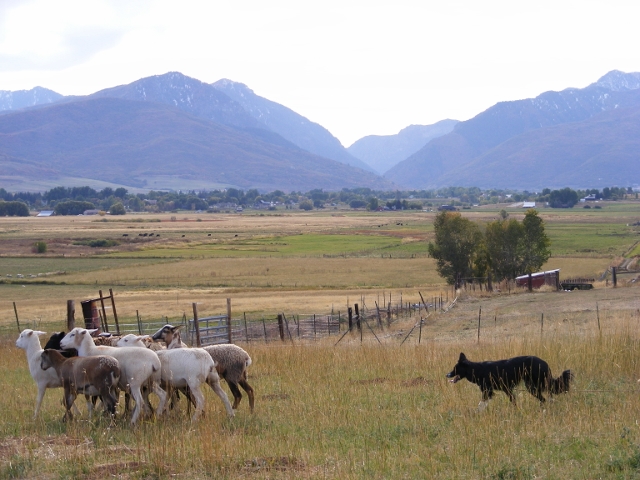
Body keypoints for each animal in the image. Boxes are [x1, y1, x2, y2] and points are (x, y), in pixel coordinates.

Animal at [444, 350, 576, 410]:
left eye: (455, 369)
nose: (447, 374)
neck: (476, 370)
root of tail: (544, 363)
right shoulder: (506, 389)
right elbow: (513, 400)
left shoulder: (488, 391)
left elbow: (481, 404)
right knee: (545, 397)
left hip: (533, 386)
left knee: (544, 397)